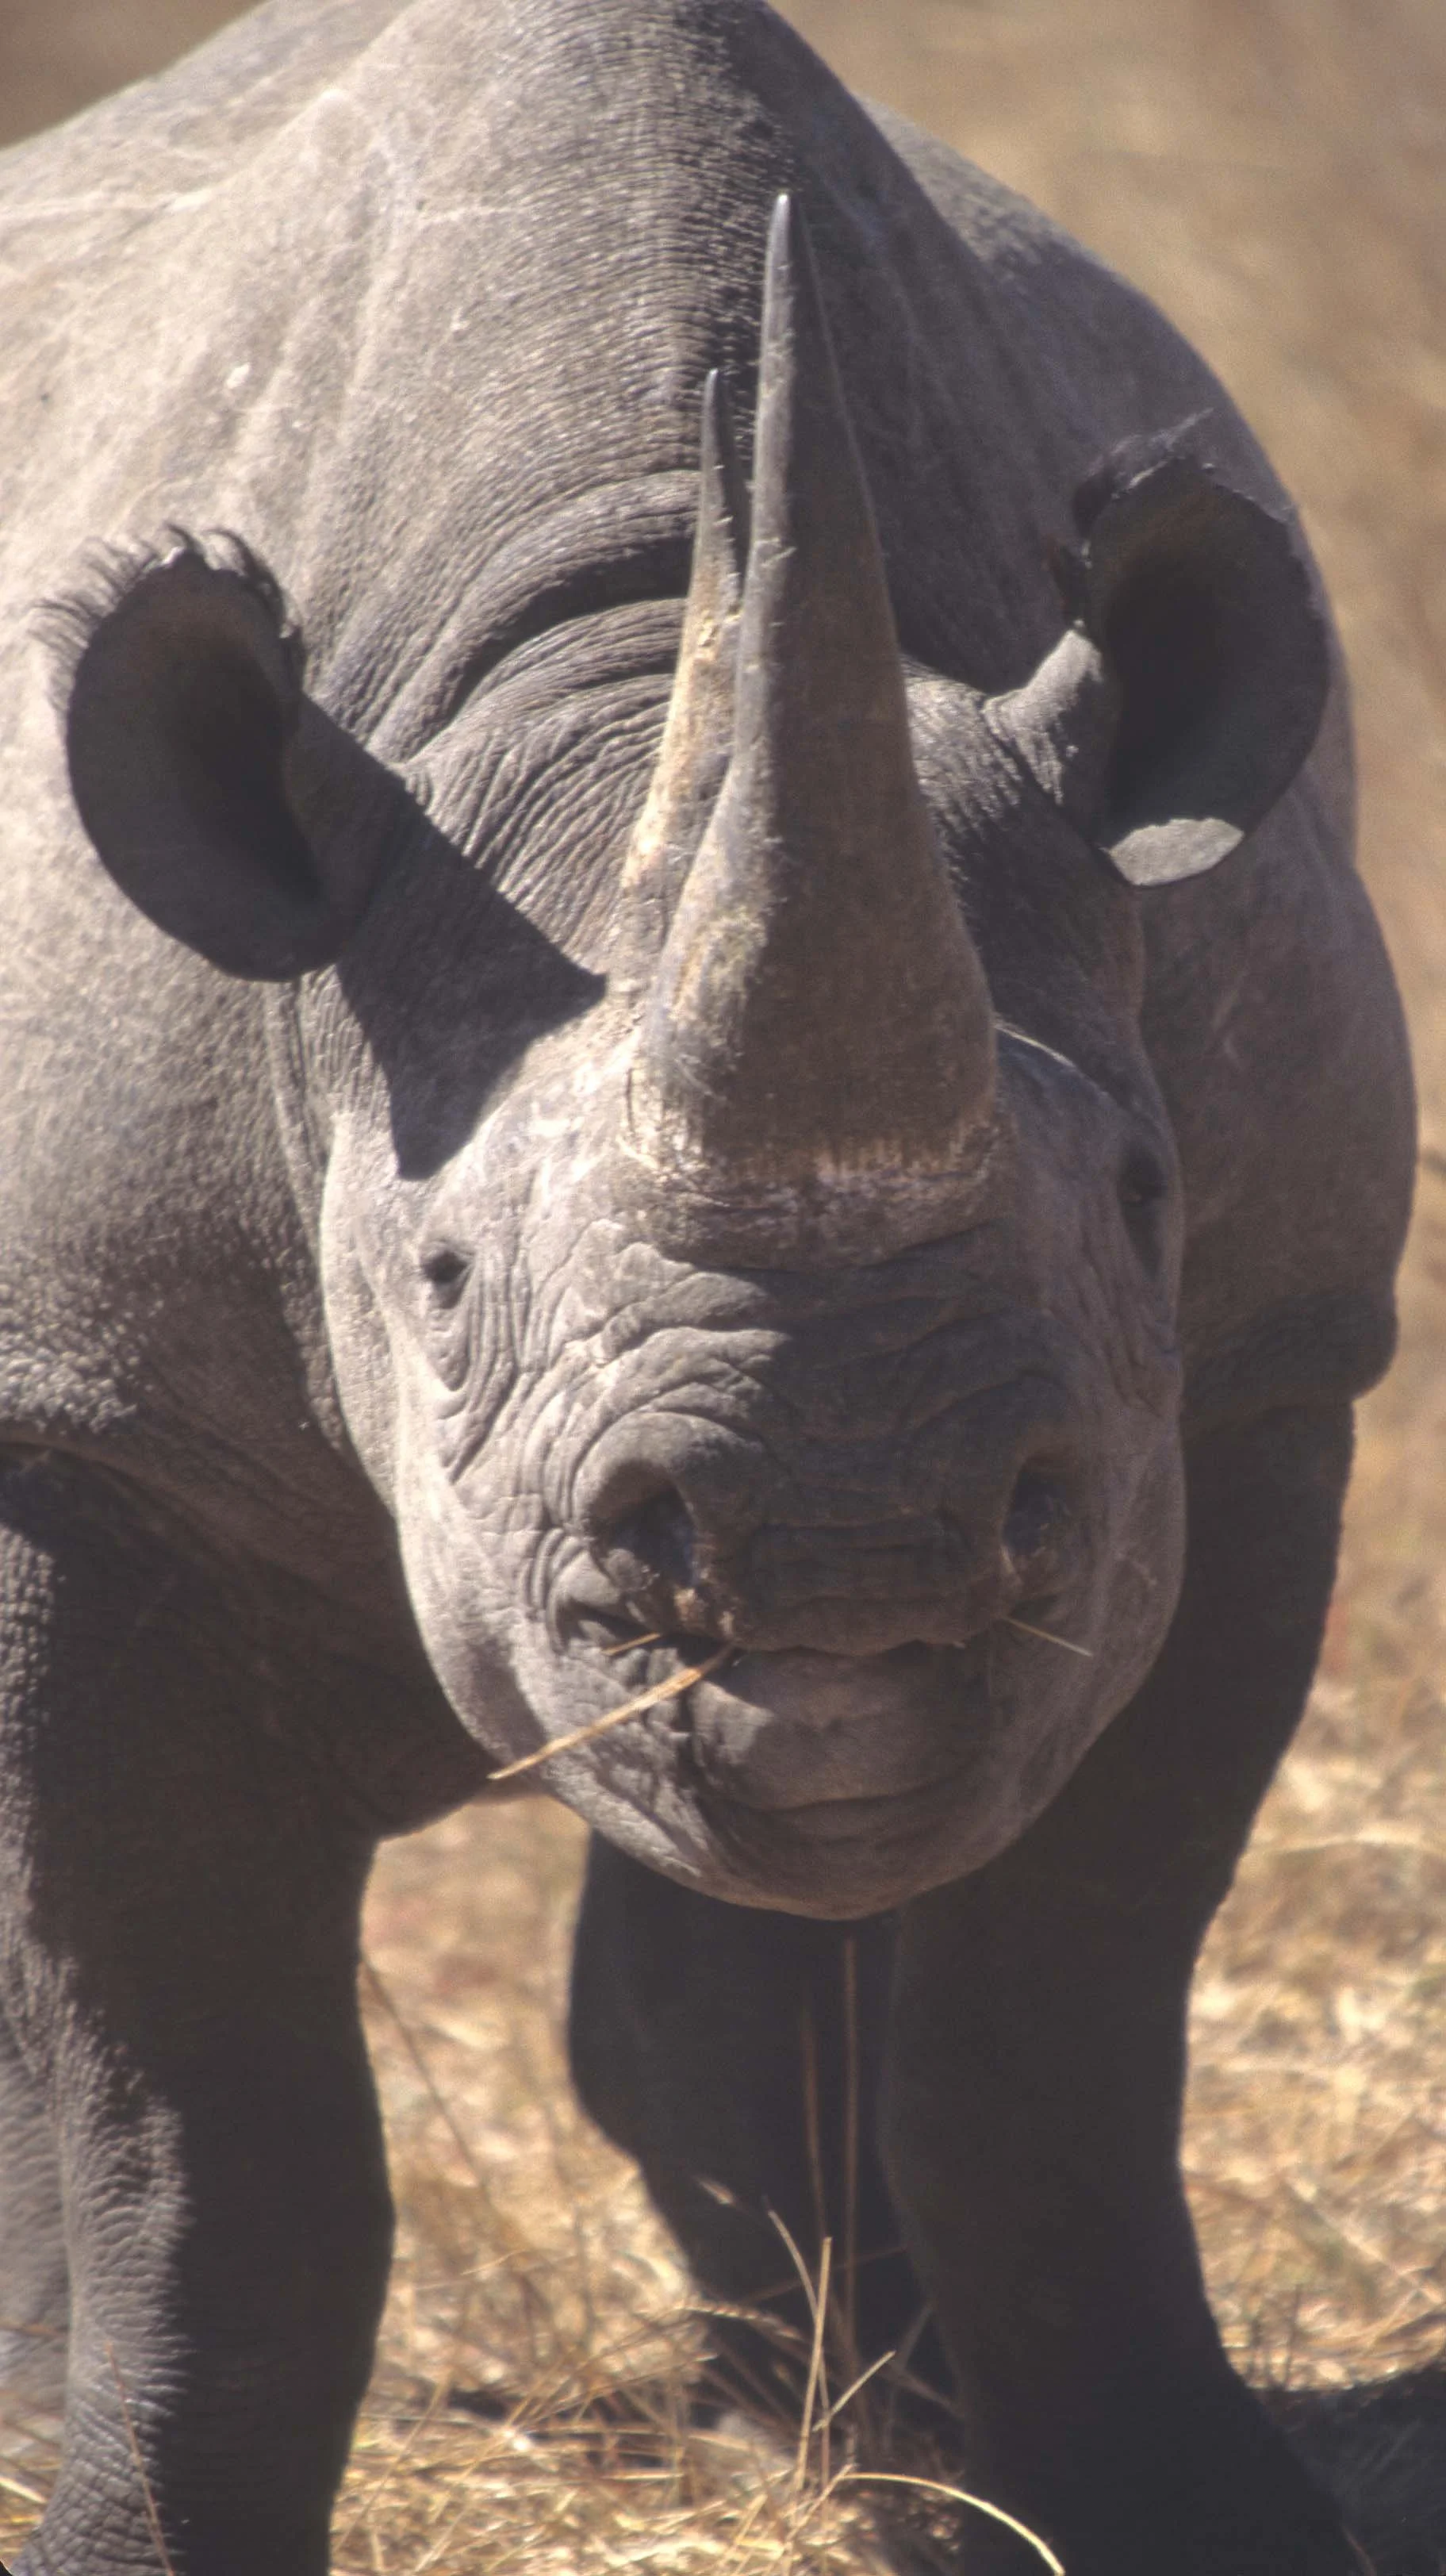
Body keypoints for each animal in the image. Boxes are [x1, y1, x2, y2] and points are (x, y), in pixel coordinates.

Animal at [0, 0, 1415, 2567]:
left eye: (1144, 1192)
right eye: (442, 1277)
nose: (844, 1543)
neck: (631, 630)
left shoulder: (1262, 1364)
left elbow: (1055, 2047)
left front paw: (1192, 2514)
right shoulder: (90, 1407)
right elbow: (207, 2126)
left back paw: (855, 2413)